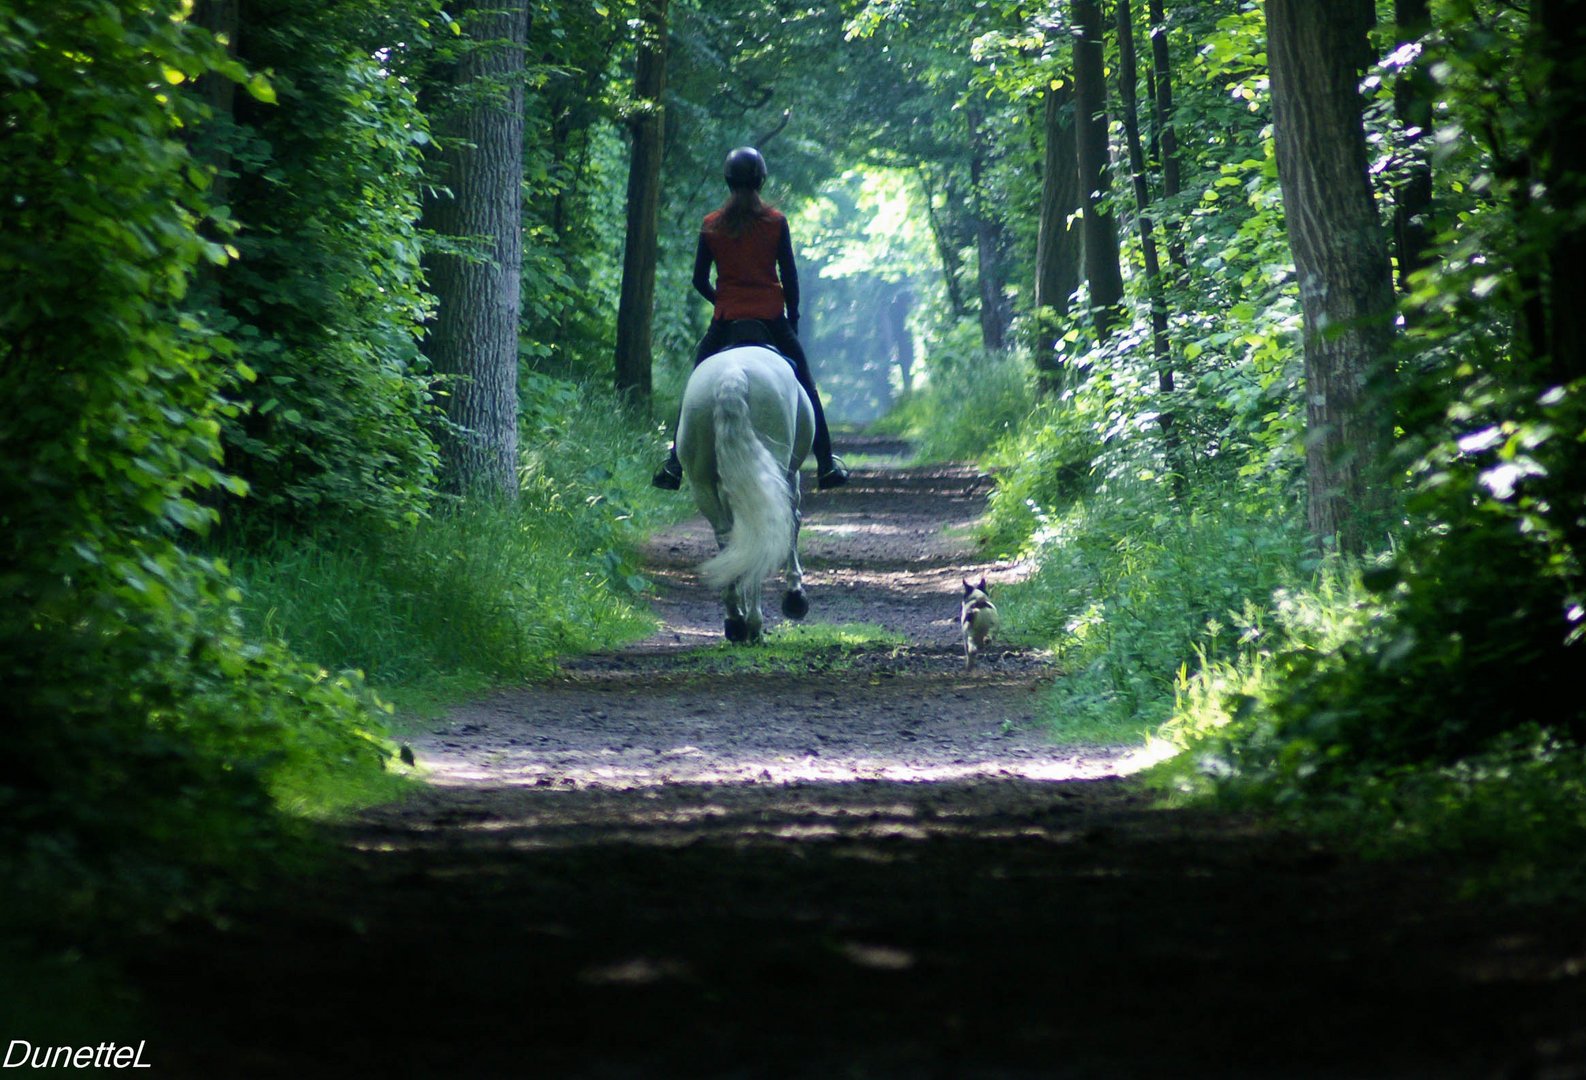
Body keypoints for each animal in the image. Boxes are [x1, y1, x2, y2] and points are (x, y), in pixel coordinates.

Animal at [672, 345, 812, 640]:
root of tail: (732, 375)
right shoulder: (790, 475)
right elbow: (793, 521)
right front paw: (795, 596)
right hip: (774, 468)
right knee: (766, 529)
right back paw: (754, 624)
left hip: (701, 482)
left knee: (729, 536)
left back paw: (736, 620)